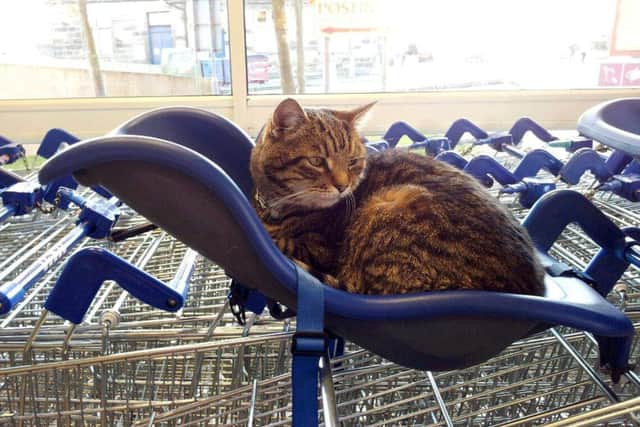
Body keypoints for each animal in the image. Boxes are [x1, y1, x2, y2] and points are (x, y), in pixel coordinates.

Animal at [250, 98, 544, 296]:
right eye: (316, 161)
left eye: (353, 162)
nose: (343, 187)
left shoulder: (321, 250)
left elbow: (285, 243)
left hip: (389, 207)